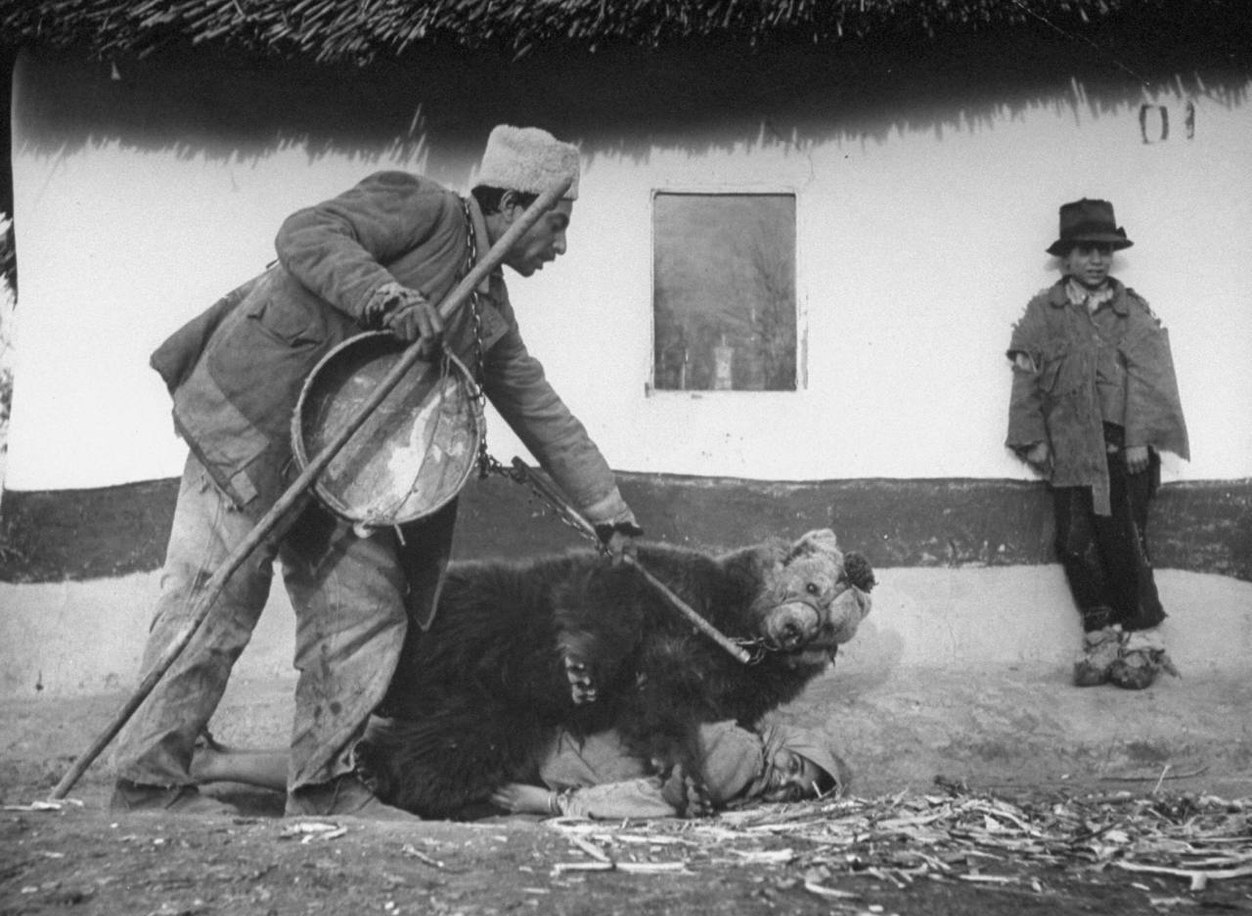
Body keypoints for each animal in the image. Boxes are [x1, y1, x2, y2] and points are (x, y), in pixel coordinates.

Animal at [358, 525, 876, 820]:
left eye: (830, 625)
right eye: (812, 586)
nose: (792, 630)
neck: (735, 630)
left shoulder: (730, 683)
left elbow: (665, 707)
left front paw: (686, 783)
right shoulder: (684, 589)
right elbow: (614, 597)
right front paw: (583, 671)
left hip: (509, 708)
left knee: (458, 743)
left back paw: (379, 767)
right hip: (494, 615)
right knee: (444, 623)